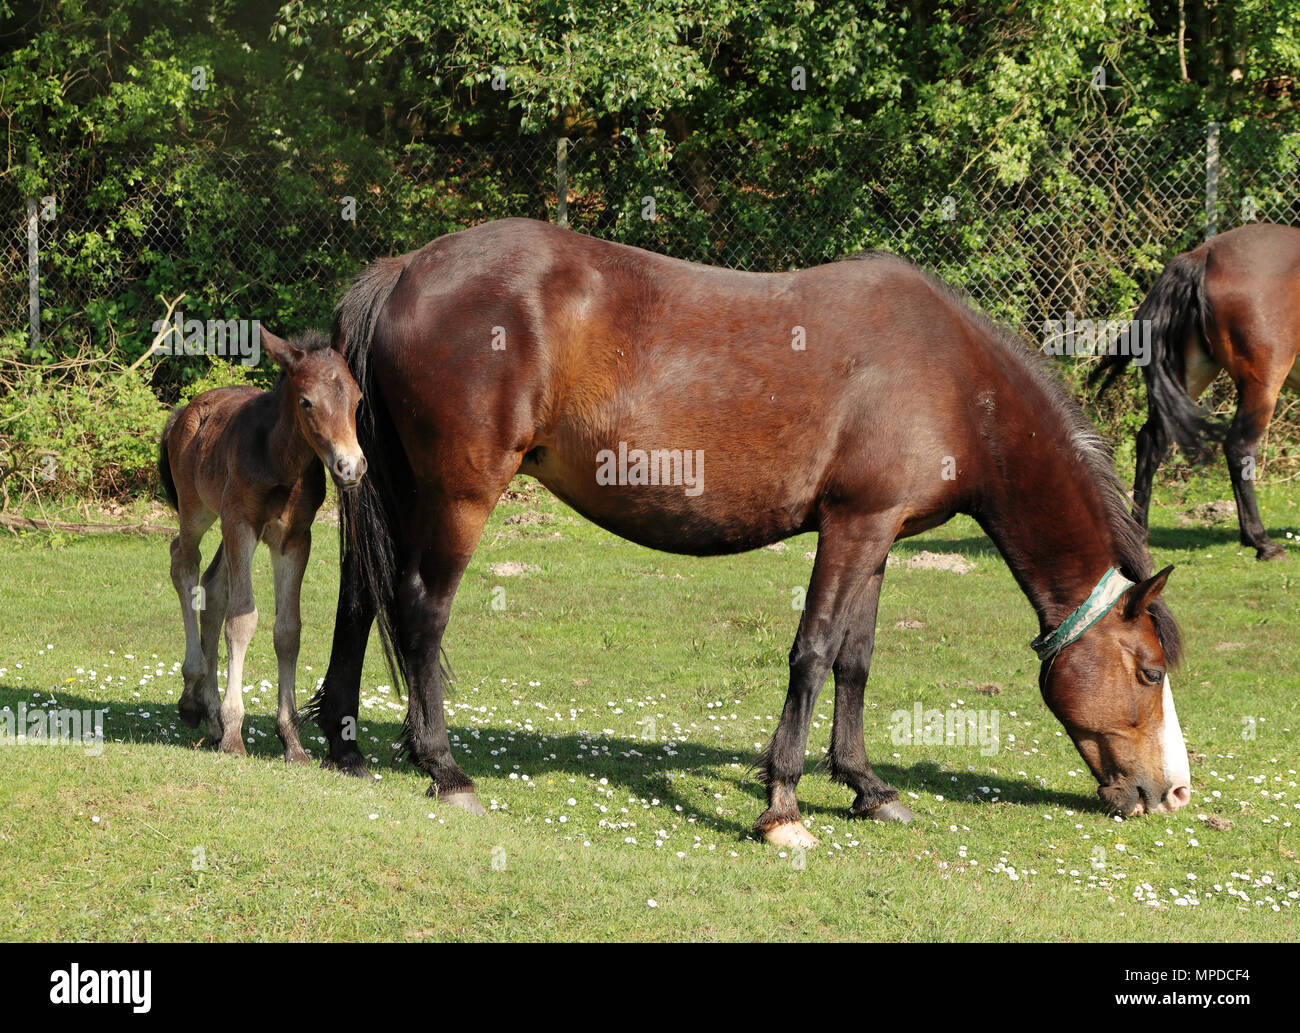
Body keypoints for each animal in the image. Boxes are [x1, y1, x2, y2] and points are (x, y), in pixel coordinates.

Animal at [158, 329, 366, 761]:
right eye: (306, 401)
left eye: (357, 400)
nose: (350, 467)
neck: (280, 461)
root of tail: (183, 412)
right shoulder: (241, 525)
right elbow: (242, 620)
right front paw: (235, 734)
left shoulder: (294, 538)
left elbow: (288, 629)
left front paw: (291, 740)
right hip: (199, 511)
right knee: (183, 563)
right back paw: (193, 696)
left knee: (213, 584)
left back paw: (210, 713)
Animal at [305, 218, 1192, 848]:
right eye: (1149, 671)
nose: (1170, 792)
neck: (952, 378)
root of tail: (404, 270)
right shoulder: (853, 526)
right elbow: (814, 653)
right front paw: (784, 803)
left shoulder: (880, 534)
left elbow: (856, 660)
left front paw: (869, 787)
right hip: (459, 494)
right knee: (420, 611)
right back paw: (444, 767)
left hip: (391, 488)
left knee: (358, 597)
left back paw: (344, 745)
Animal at [1092, 222, 1300, 560]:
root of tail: (1205, 254)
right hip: (1263, 381)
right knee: (1239, 446)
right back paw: (1261, 542)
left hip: (1192, 373)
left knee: (1151, 440)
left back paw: (1140, 534)